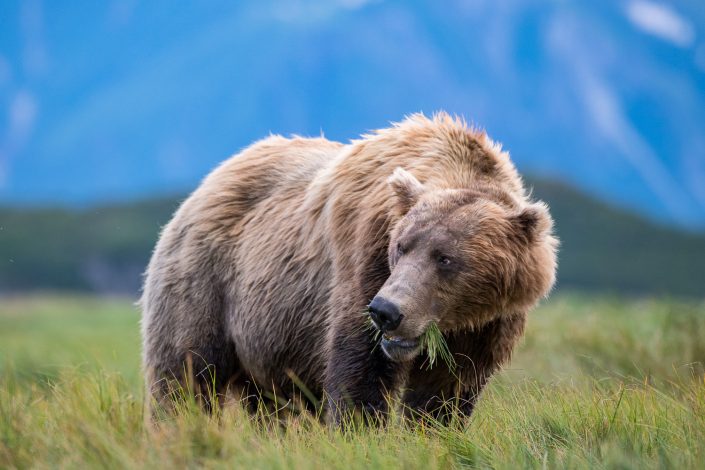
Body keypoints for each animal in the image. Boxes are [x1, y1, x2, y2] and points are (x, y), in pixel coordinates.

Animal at [140, 112, 560, 424]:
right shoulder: (364, 260)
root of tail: (207, 182)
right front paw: (361, 429)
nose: (387, 311)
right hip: (207, 281)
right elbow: (359, 373)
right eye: (401, 247)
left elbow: (445, 394)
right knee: (186, 375)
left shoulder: (485, 326)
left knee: (272, 404)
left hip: (267, 337)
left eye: (445, 258)